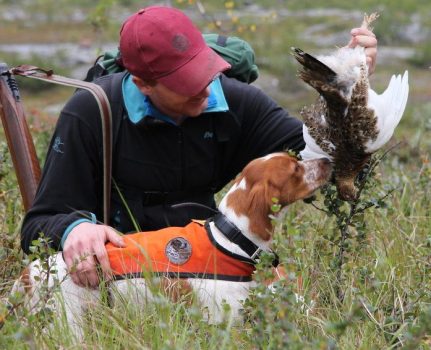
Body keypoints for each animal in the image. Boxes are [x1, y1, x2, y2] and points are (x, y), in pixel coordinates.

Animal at [11, 152, 332, 336]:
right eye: (295, 169)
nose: (328, 160)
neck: (231, 237)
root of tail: (31, 272)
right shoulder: (222, 322)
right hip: (69, 324)